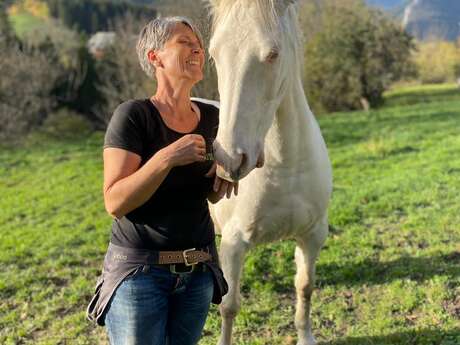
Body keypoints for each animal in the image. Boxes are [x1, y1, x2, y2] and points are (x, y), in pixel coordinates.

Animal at [207, 0, 332, 344]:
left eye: (273, 54)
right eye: (213, 54)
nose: (229, 160)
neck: (286, 167)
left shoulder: (313, 235)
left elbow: (305, 287)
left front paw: (306, 337)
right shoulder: (235, 243)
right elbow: (229, 307)